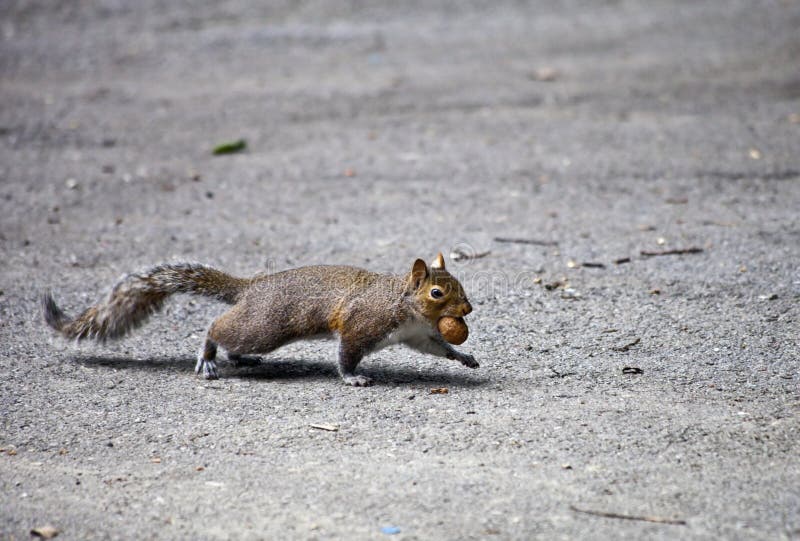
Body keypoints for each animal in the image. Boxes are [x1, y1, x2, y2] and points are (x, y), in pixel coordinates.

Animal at [42, 253, 476, 384]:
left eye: (458, 282)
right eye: (437, 293)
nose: (468, 310)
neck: (403, 303)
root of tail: (251, 288)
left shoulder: (416, 334)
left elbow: (436, 348)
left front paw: (464, 357)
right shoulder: (364, 324)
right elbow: (347, 354)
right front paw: (353, 377)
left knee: (233, 341)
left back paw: (238, 359)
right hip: (263, 326)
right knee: (217, 328)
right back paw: (208, 357)